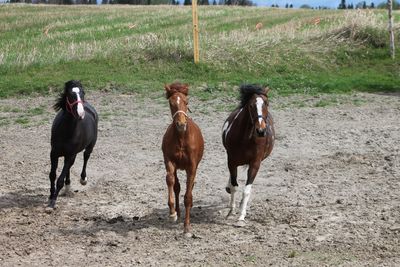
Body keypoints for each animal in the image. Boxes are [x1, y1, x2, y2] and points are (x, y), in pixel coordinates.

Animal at [48, 79, 99, 209]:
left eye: (83, 93)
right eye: (70, 94)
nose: (80, 113)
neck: (66, 131)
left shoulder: (69, 154)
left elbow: (60, 179)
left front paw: (53, 202)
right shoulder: (54, 153)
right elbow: (52, 175)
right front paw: (50, 196)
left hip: (90, 146)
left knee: (86, 157)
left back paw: (83, 179)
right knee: (70, 166)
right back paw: (68, 187)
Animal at [161, 82, 205, 237]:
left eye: (186, 102)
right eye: (171, 103)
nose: (181, 124)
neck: (181, 138)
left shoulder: (191, 167)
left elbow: (188, 197)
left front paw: (187, 228)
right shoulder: (169, 161)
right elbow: (170, 181)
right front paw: (172, 213)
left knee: (189, 188)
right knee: (177, 186)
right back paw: (178, 213)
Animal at [222, 85, 276, 225]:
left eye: (266, 103)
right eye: (251, 105)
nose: (261, 131)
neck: (245, 138)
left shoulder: (255, 164)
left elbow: (246, 191)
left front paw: (241, 216)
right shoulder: (231, 160)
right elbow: (235, 186)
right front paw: (231, 212)